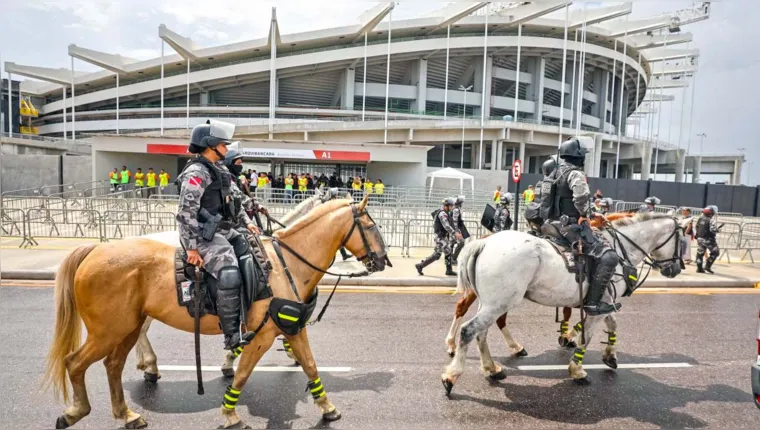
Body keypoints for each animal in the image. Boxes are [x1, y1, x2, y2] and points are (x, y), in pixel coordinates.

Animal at [442, 212, 632, 356]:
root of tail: (485, 241)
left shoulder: (596, 302)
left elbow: (601, 320)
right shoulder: (600, 301)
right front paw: (570, 342)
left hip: (492, 298)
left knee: (473, 314)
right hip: (503, 299)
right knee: (486, 319)